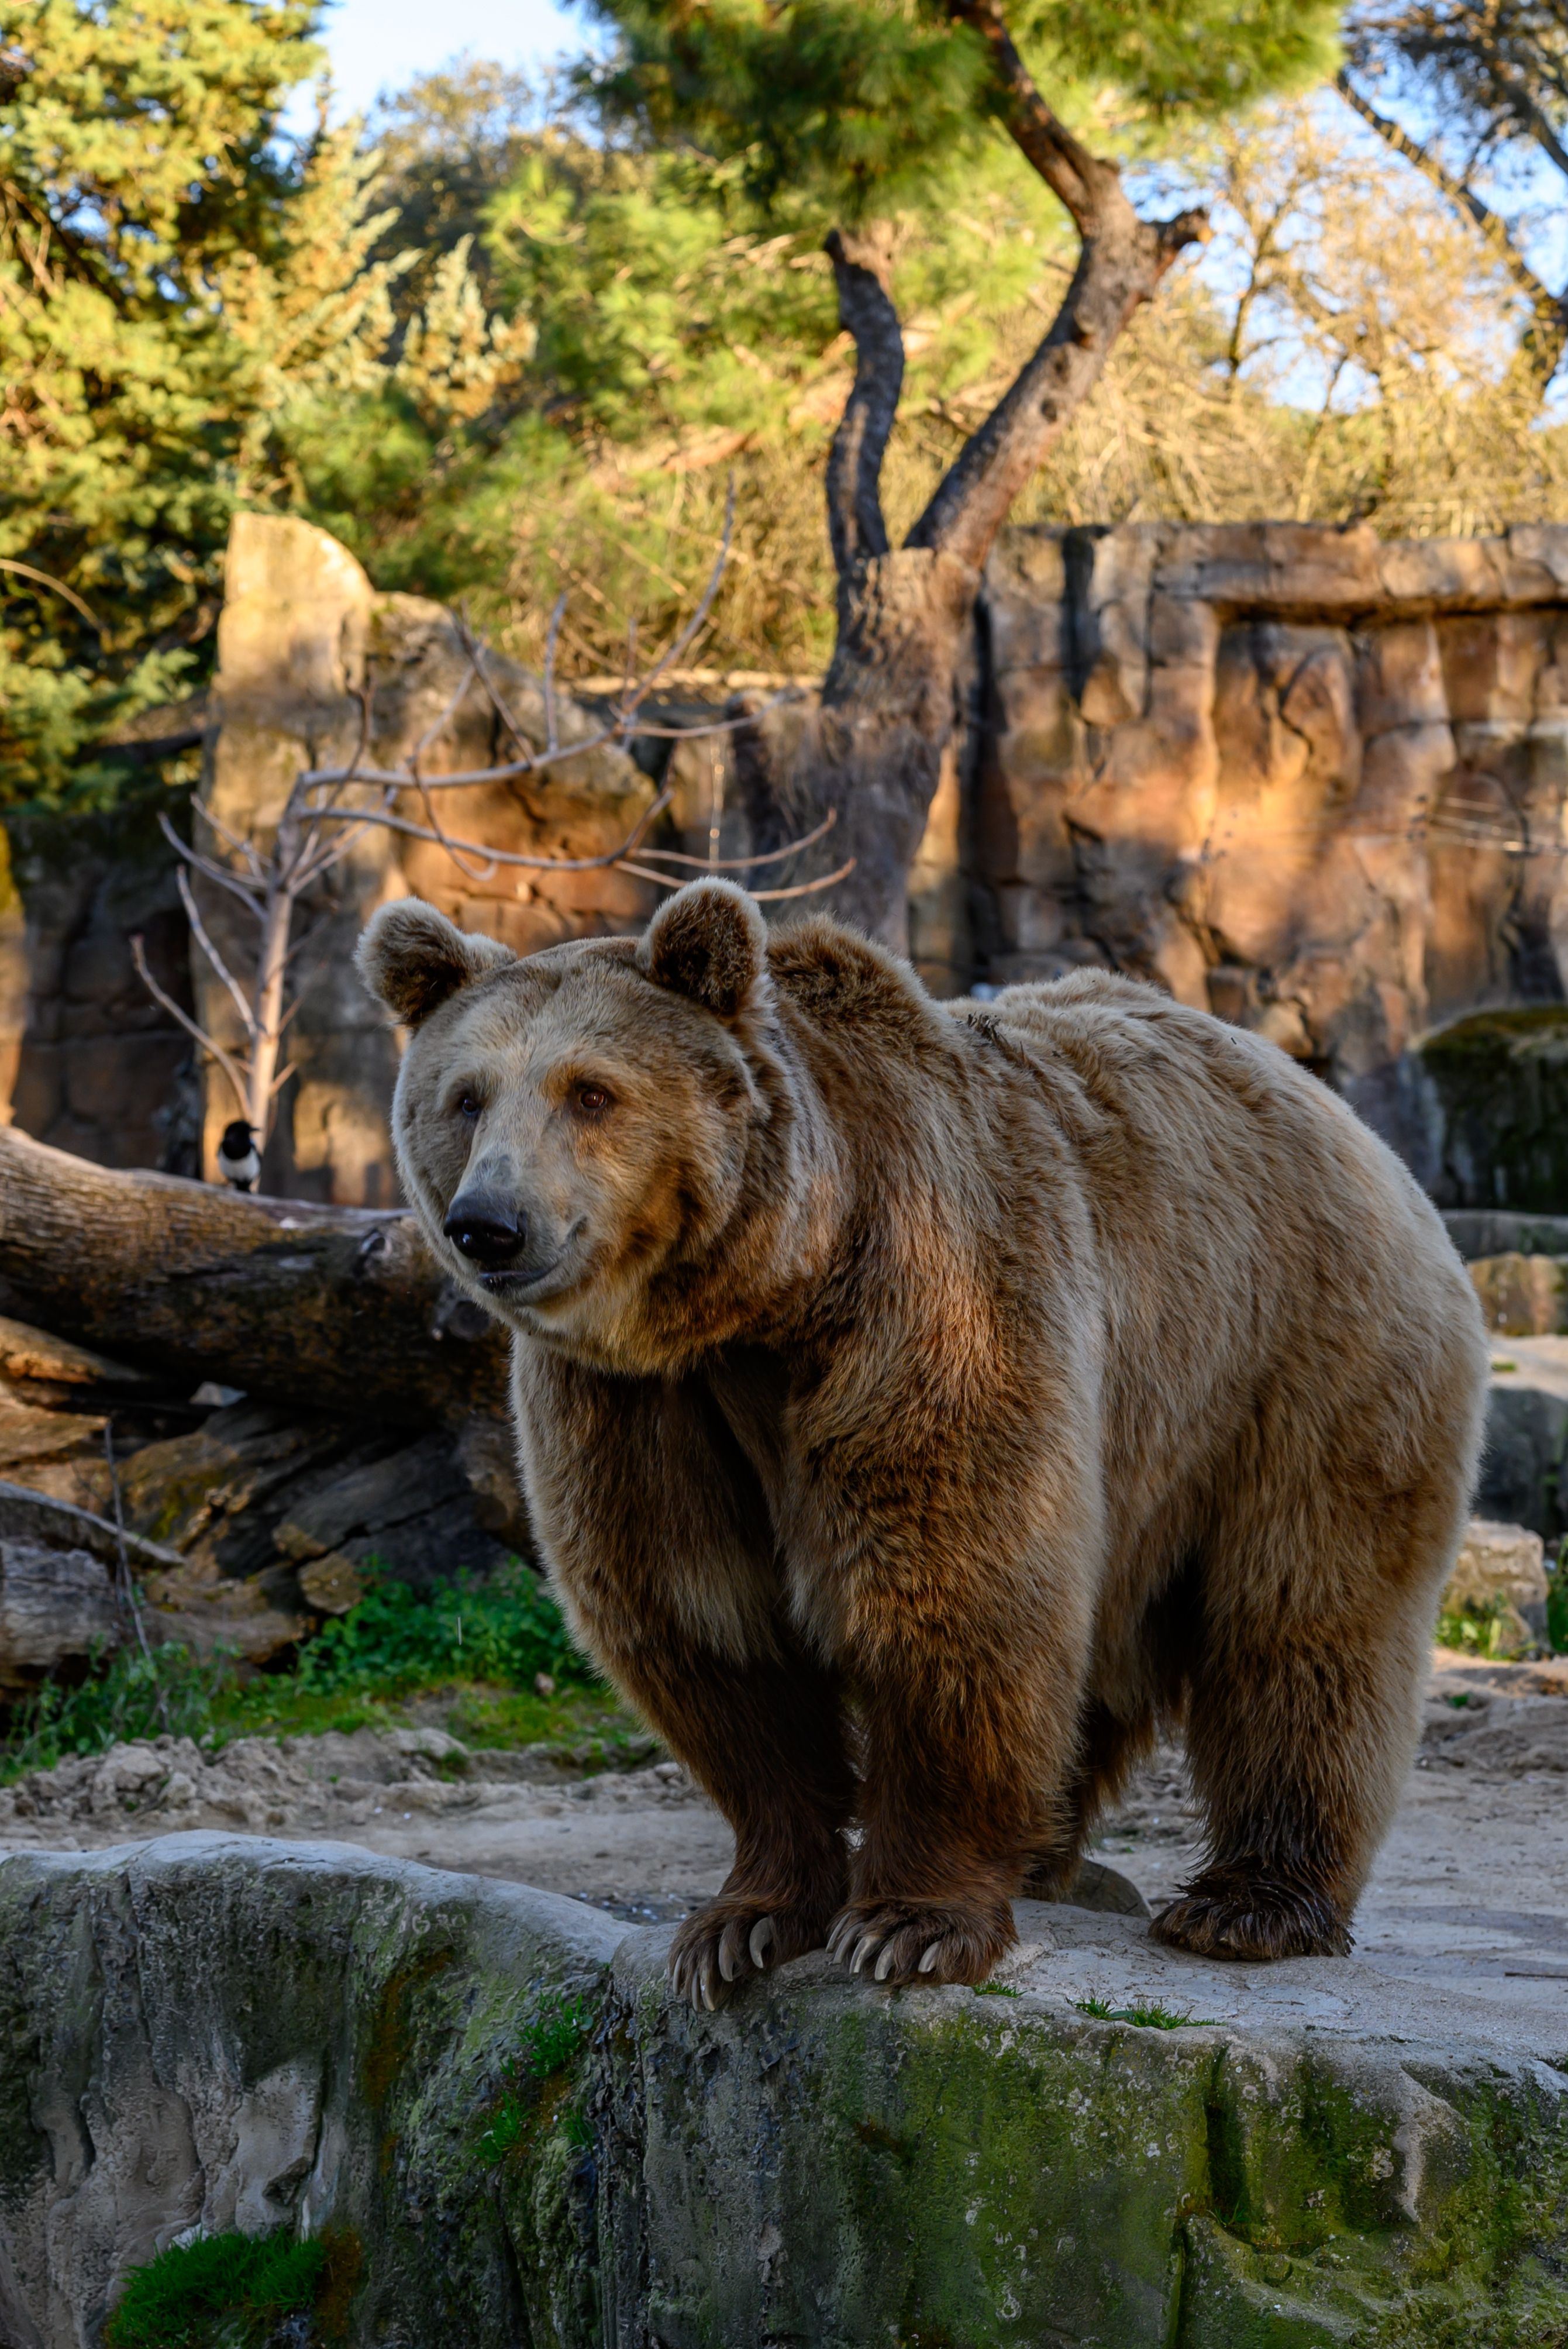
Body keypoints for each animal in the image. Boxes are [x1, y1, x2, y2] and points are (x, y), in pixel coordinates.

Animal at [356, 878, 1488, 2008]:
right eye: (465, 1097)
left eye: (591, 1092)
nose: (490, 1224)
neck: (762, 1300)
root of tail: (1338, 1113)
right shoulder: (639, 1407)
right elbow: (705, 1624)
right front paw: (739, 1925)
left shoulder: (926, 1305)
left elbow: (953, 1596)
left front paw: (908, 1925)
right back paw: (1049, 1854)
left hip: (1296, 1361)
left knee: (1301, 1622)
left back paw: (1246, 1903)